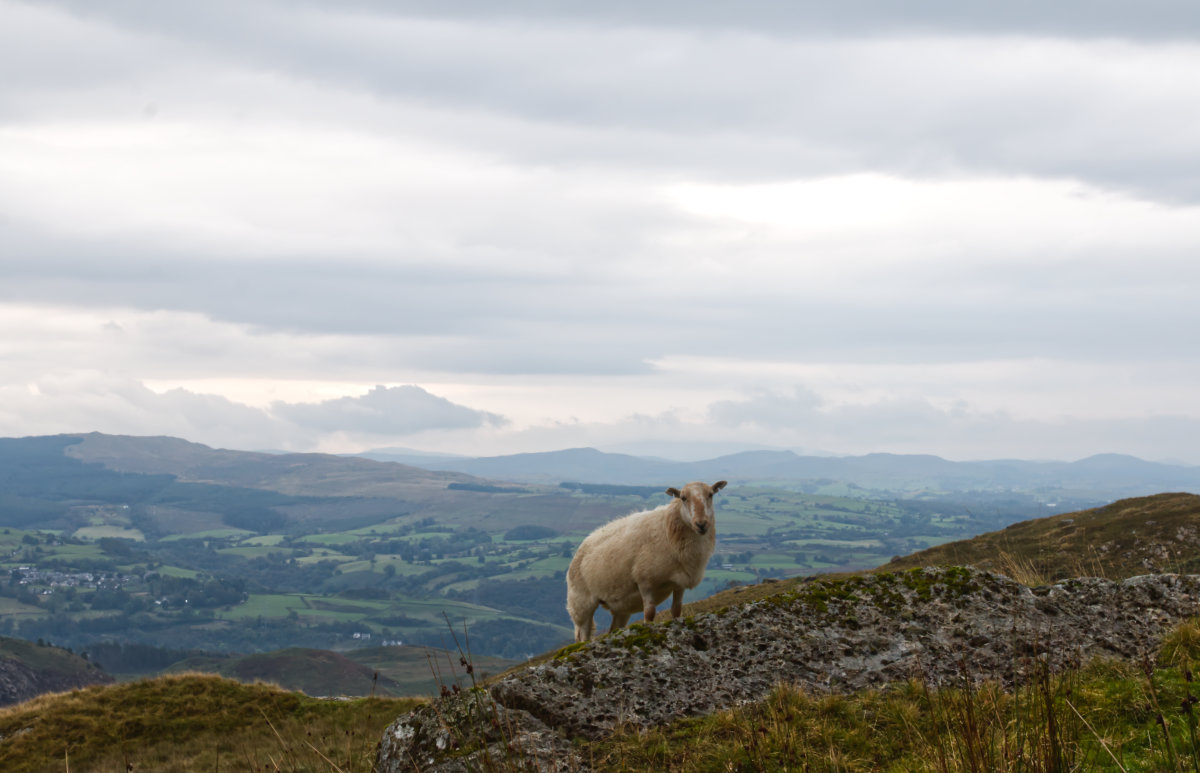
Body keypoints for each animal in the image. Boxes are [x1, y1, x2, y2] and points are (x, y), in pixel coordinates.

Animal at [566, 480, 724, 643]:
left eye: (711, 494)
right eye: (683, 498)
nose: (701, 524)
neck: (668, 532)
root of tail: (581, 546)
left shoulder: (679, 583)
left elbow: (676, 610)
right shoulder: (645, 582)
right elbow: (649, 613)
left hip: (621, 606)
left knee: (614, 628)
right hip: (581, 603)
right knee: (583, 634)